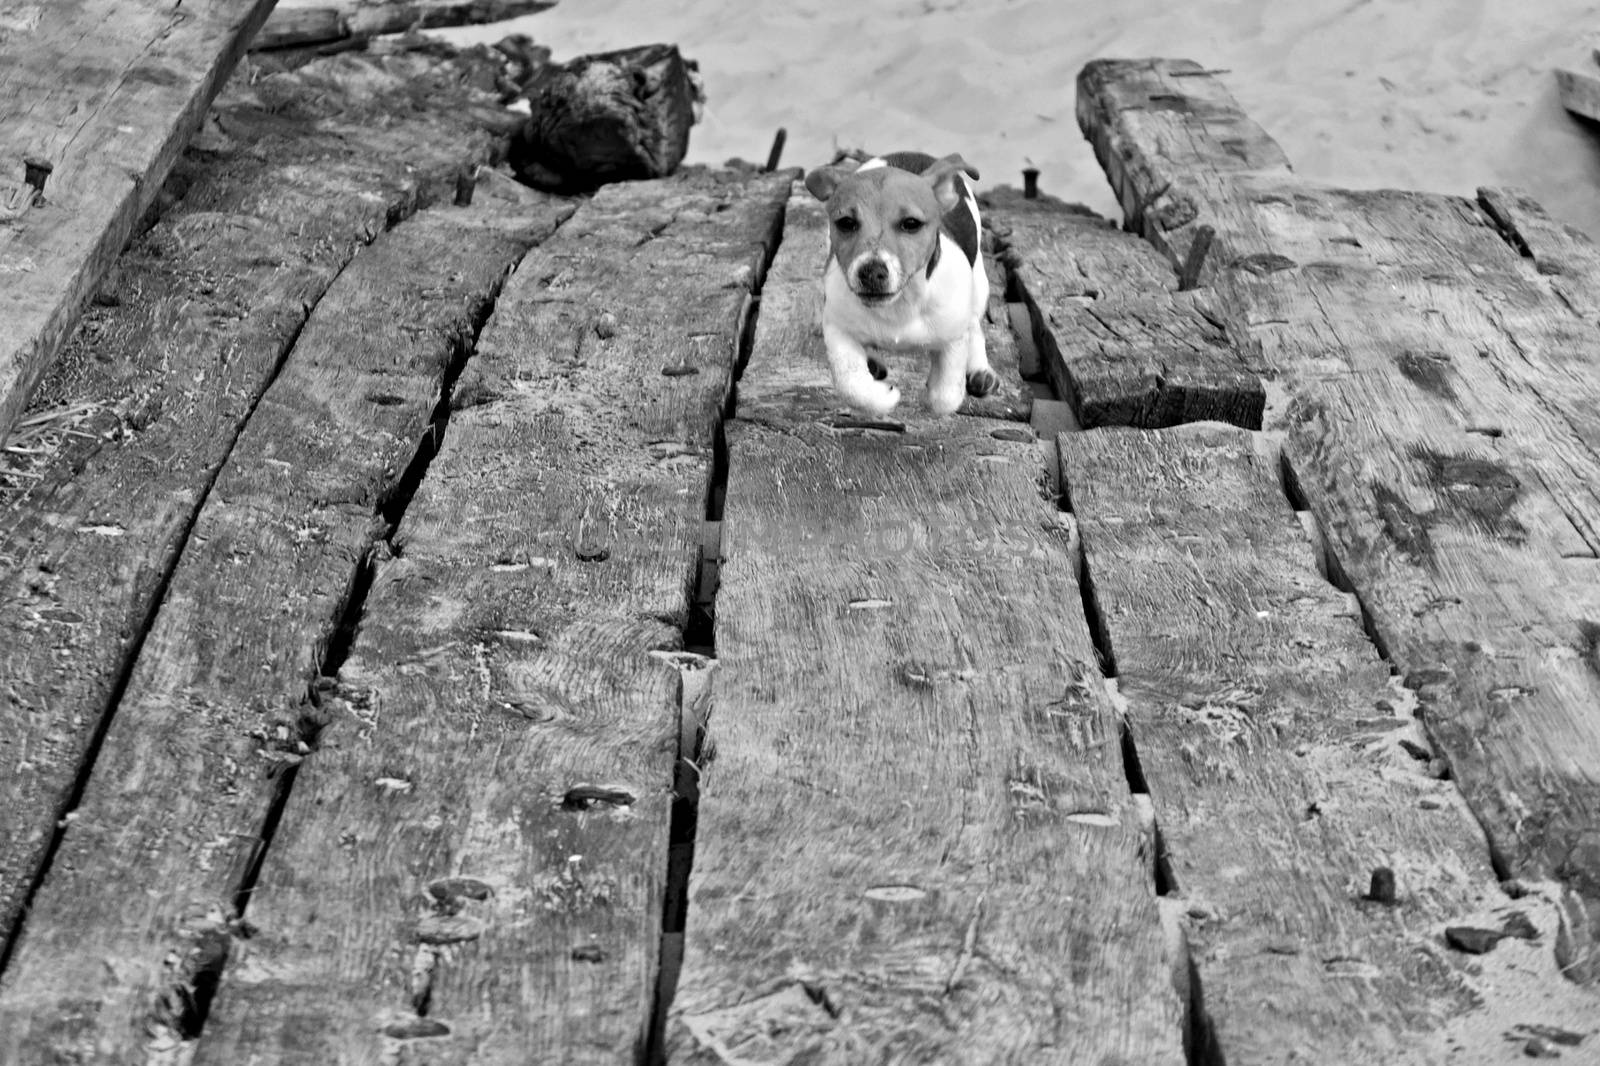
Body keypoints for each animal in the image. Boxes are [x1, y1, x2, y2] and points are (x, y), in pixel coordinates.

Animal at [800, 150, 998, 416]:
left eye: (911, 224)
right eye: (846, 223)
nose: (871, 272)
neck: (901, 303)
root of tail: (913, 153)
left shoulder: (953, 338)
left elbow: (945, 398)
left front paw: (933, 391)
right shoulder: (838, 327)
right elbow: (851, 385)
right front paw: (884, 397)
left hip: (979, 284)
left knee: (975, 325)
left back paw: (979, 370)